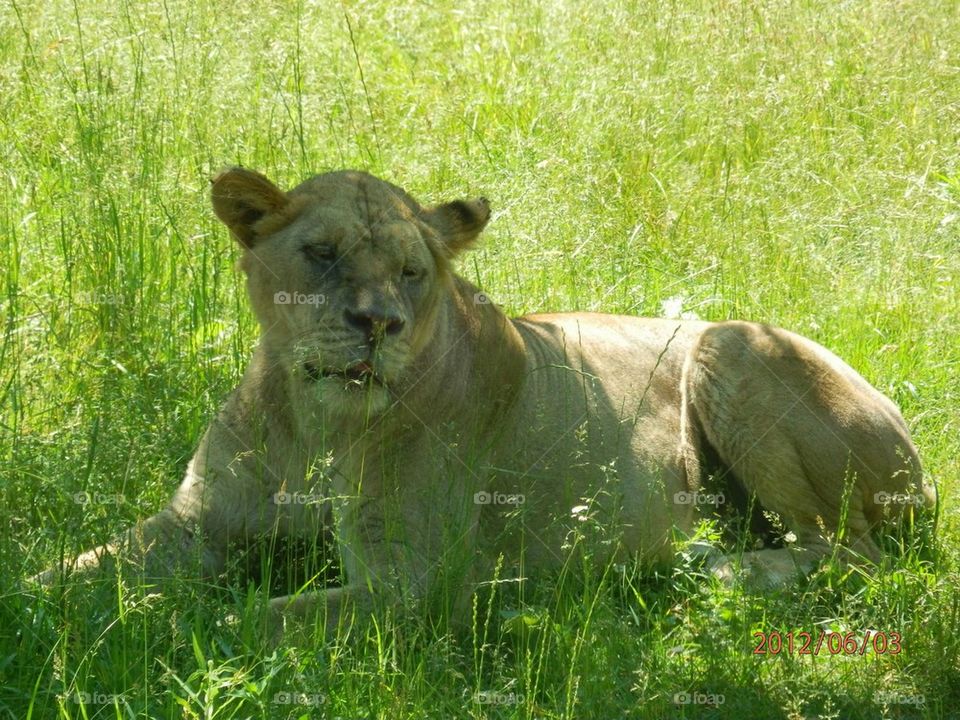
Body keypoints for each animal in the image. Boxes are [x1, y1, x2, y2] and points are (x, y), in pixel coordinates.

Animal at [33, 167, 936, 642]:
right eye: (321, 254)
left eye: (410, 273)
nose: (378, 325)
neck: (319, 423)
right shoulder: (194, 521)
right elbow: (73, 573)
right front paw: (49, 608)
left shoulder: (414, 586)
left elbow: (241, 622)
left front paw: (147, 630)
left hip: (734, 344)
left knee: (851, 553)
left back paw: (707, 569)